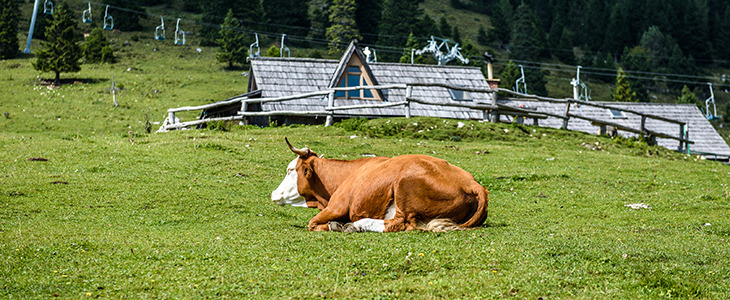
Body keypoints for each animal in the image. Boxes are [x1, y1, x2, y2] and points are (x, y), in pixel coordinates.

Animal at [268, 138, 490, 232]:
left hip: (403, 186)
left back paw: (357, 225)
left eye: (290, 170)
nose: (273, 193)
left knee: (401, 224)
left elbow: (313, 224)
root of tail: (473, 183)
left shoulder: (336, 206)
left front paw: (334, 225)